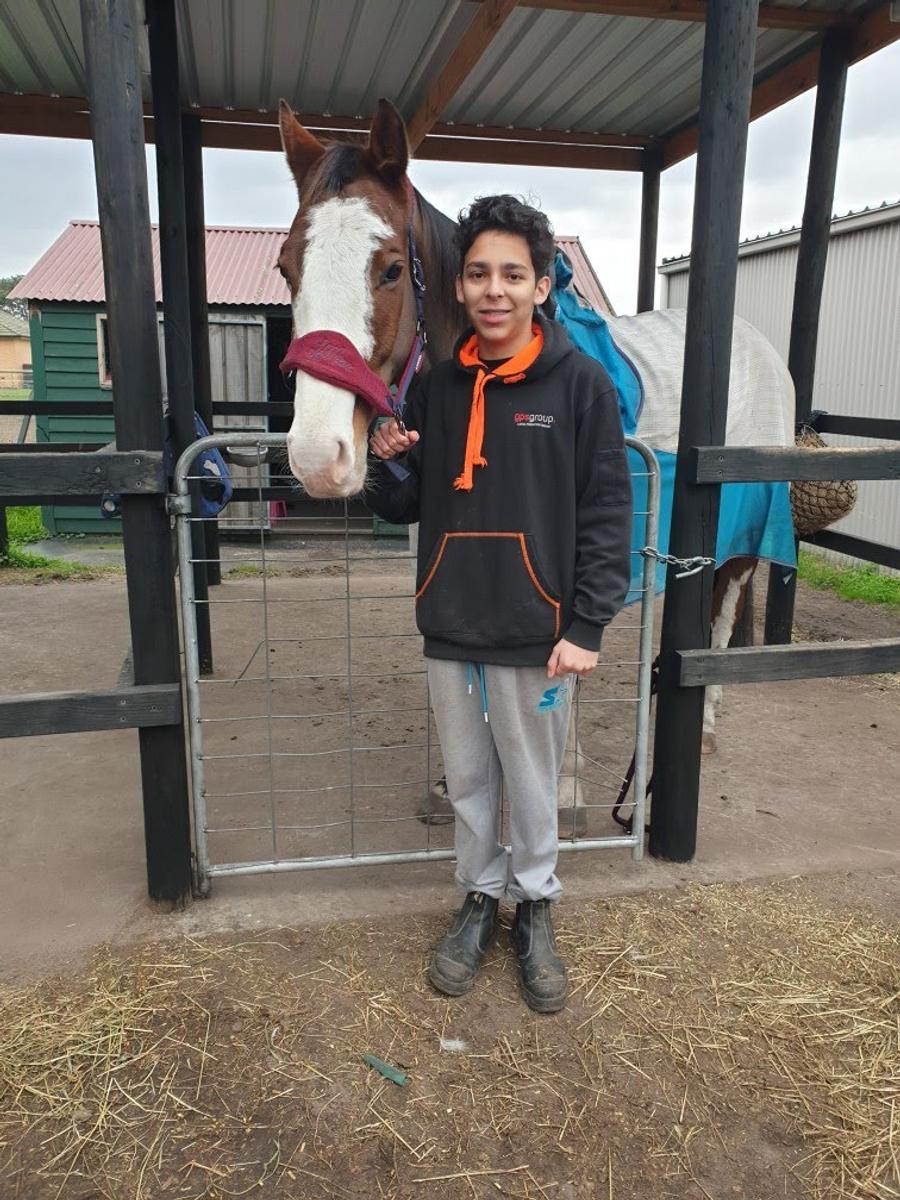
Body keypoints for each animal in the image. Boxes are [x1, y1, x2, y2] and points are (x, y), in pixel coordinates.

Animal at [275, 99, 791, 821]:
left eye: (391, 269)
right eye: (286, 268)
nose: (319, 455)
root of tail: (758, 346)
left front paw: (563, 782)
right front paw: (454, 779)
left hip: (738, 543)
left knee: (716, 621)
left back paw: (705, 727)